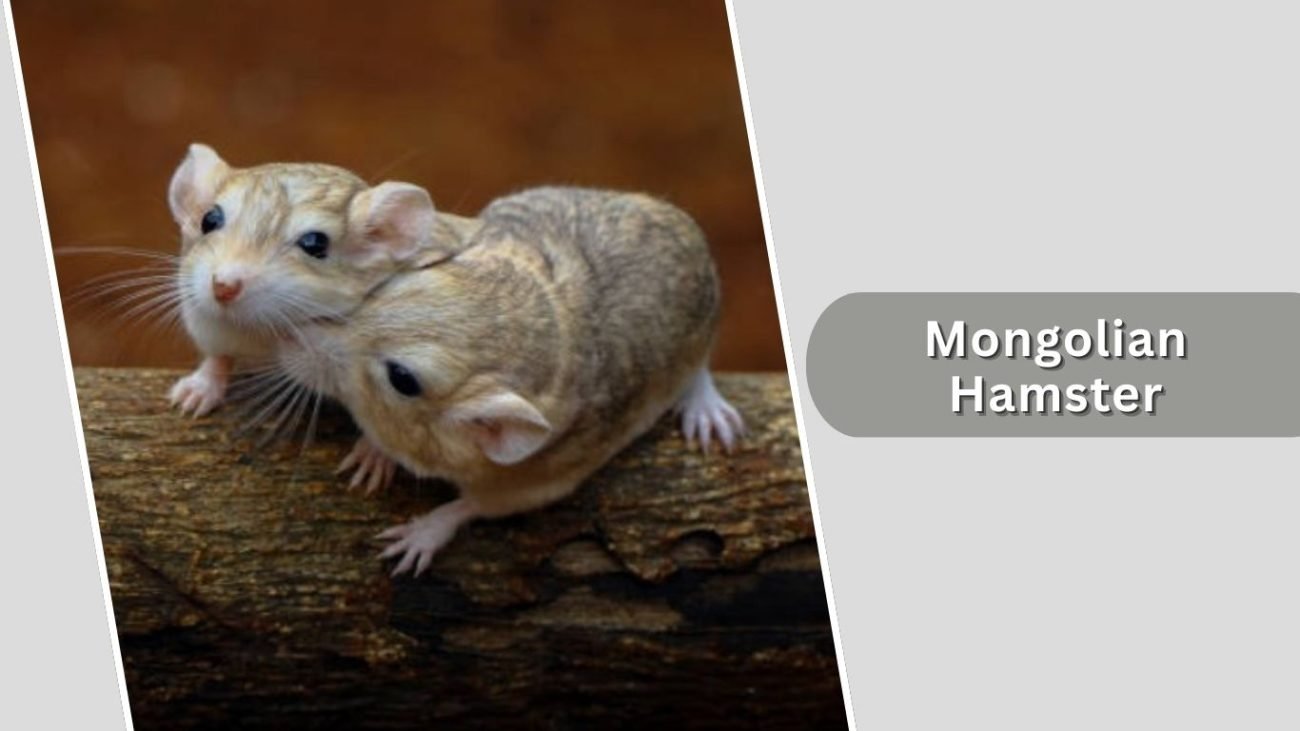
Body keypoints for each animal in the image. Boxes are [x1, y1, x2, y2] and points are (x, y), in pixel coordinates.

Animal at [164, 143, 478, 416]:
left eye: (315, 243)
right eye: (209, 220)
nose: (222, 288)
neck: (260, 333)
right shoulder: (208, 324)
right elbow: (218, 358)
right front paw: (190, 399)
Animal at [278, 186, 745, 576]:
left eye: (402, 379)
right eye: (384, 290)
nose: (289, 337)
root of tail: (687, 227)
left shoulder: (533, 483)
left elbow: (468, 506)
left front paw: (407, 545)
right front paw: (370, 458)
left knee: (699, 372)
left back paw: (710, 418)